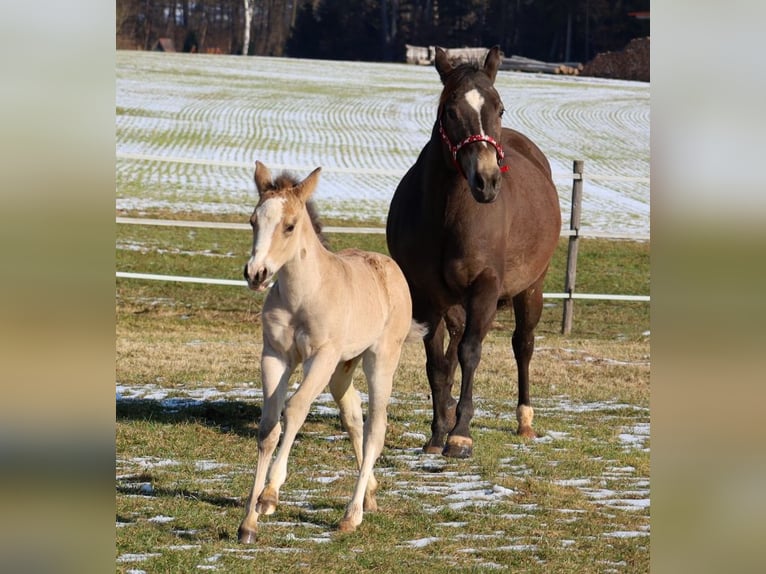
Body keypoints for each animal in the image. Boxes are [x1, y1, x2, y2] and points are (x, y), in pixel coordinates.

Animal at [239, 161, 422, 542]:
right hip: (343, 367)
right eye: (252, 221)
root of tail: (390, 267)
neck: (303, 295)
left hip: (380, 360)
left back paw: (352, 514)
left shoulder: (320, 357)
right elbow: (268, 426)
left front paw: (269, 495)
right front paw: (248, 523)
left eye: (289, 226)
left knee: (375, 427)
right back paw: (370, 494)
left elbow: (295, 409)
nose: (256, 273)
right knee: (352, 414)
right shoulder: (275, 356)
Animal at [386, 46, 561, 459]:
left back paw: (524, 421)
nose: (486, 181)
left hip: (531, 289)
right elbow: (437, 362)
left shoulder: (484, 287)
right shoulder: (427, 297)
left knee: (522, 345)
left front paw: (460, 435)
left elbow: (470, 352)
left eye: (500, 108)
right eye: (450, 110)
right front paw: (437, 433)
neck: (447, 214)